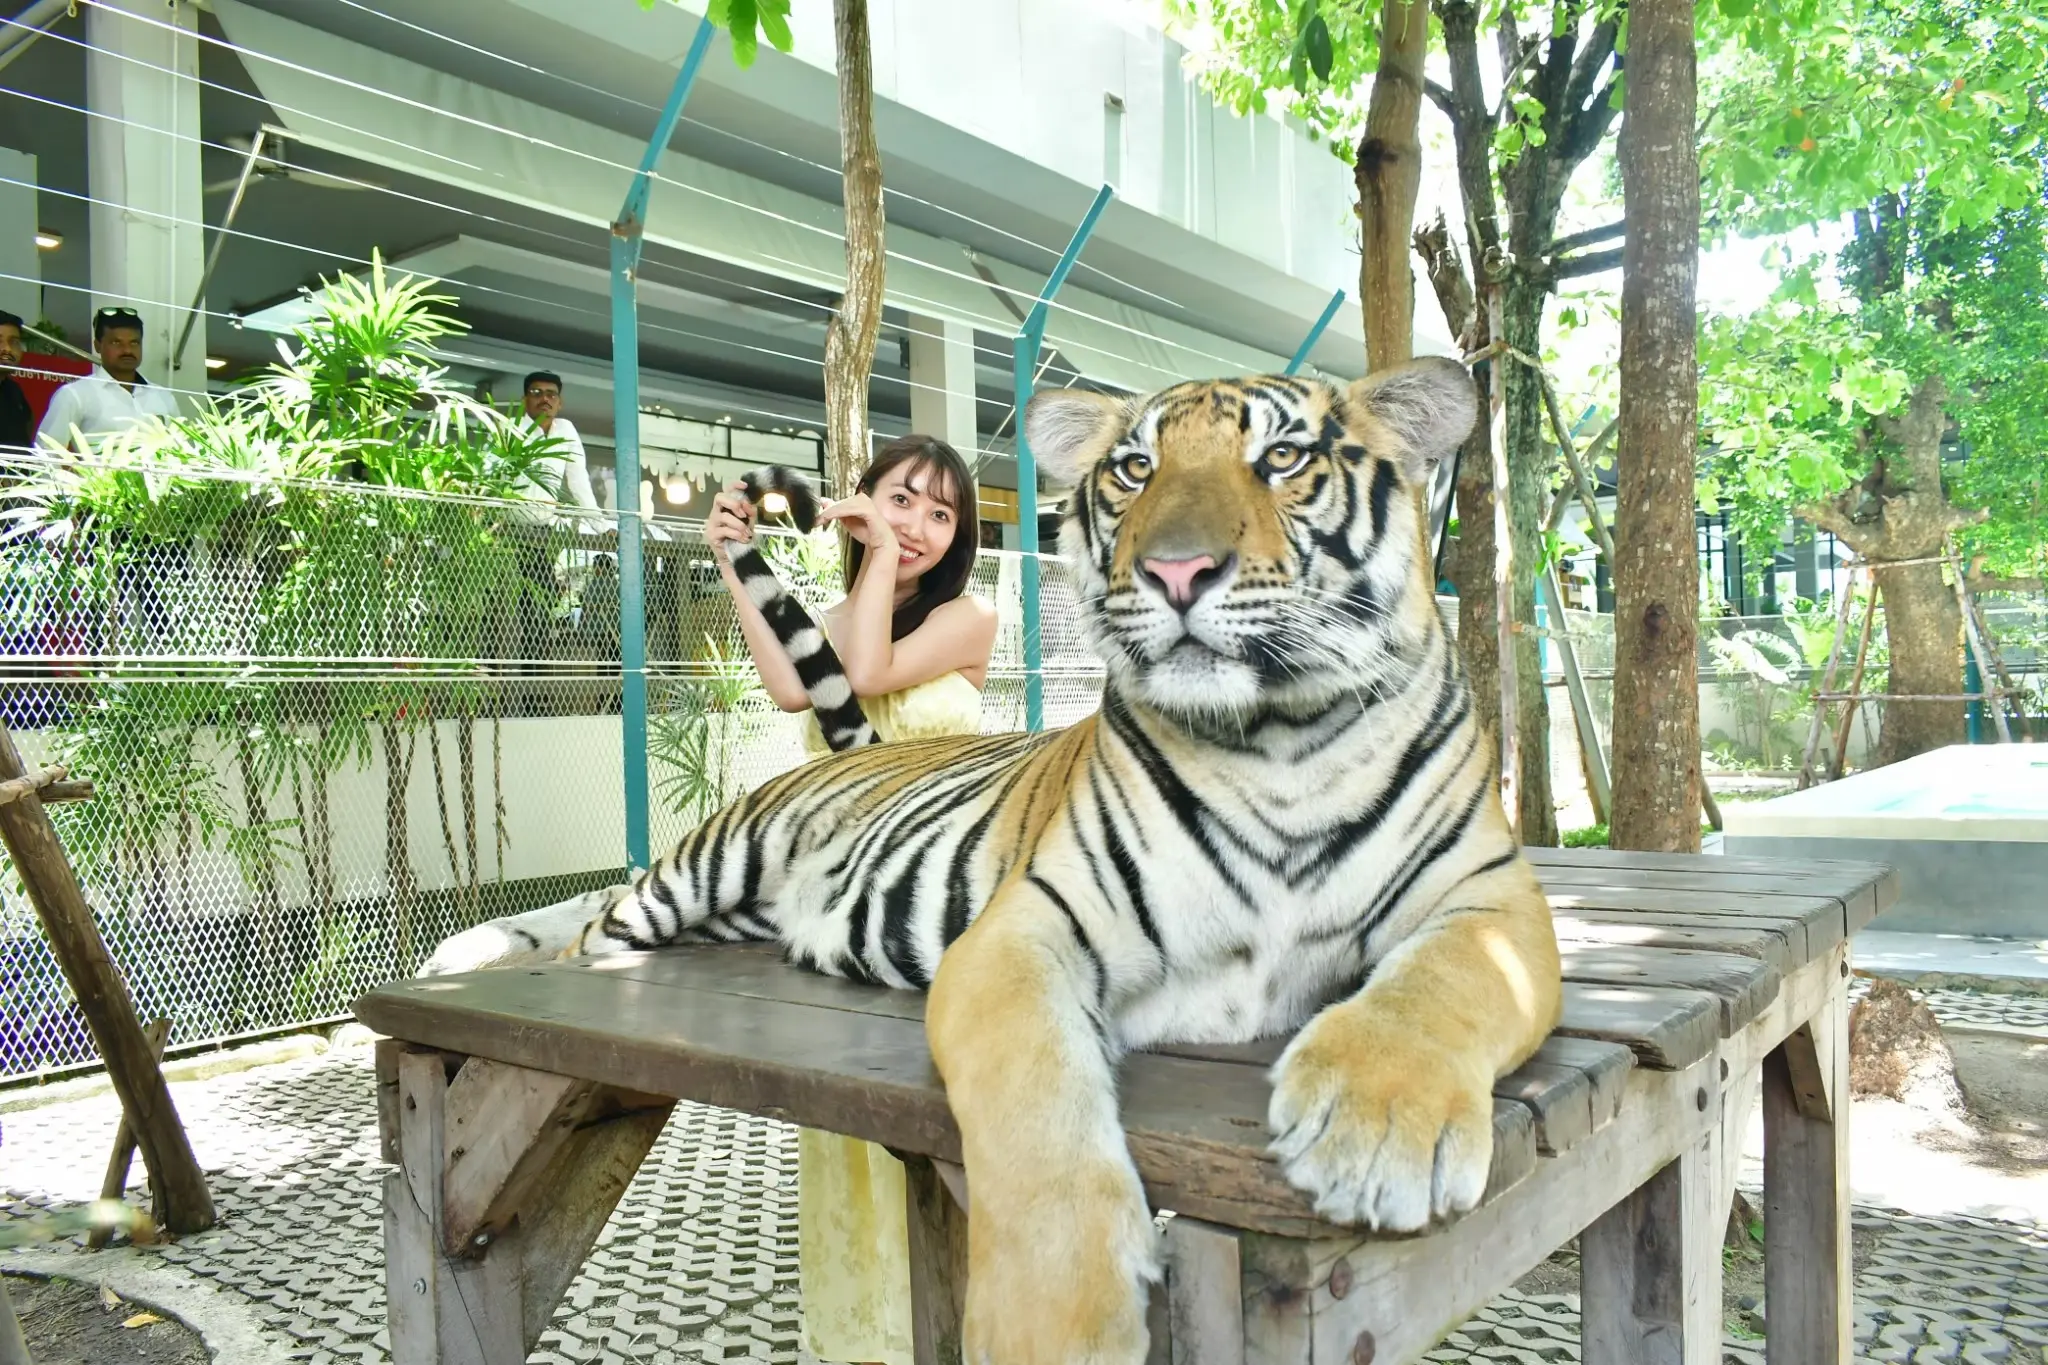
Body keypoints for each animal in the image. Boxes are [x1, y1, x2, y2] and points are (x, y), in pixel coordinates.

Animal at [421, 356, 1562, 1365]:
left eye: (1282, 456)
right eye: (1134, 469)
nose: (1175, 572)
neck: (1277, 739)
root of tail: (862, 748)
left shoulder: (1492, 900)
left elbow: (1435, 987)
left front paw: (1377, 1128)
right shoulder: (1030, 925)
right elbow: (1035, 1102)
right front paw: (1055, 1322)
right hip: (708, 867)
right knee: (596, 913)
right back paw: (471, 955)